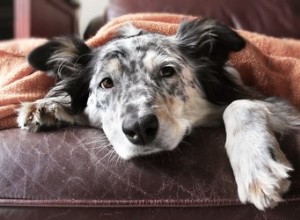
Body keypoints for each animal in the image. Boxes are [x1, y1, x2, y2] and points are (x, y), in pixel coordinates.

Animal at [17, 18, 298, 210]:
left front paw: (257, 165)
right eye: (106, 83)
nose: (140, 128)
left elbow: (240, 105)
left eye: (167, 71)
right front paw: (48, 105)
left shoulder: (281, 107)